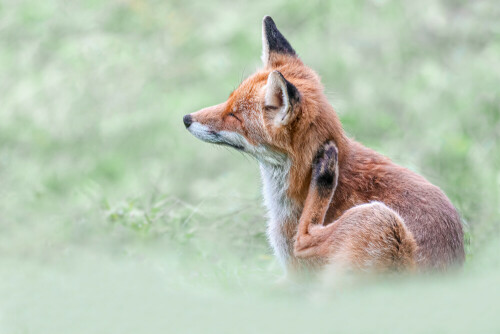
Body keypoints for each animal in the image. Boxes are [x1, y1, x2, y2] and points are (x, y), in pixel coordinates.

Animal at [184, 15, 464, 274]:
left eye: (234, 116)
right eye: (228, 101)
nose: (186, 119)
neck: (298, 181)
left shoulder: (298, 276)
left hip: (380, 219)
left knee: (305, 238)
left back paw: (326, 176)